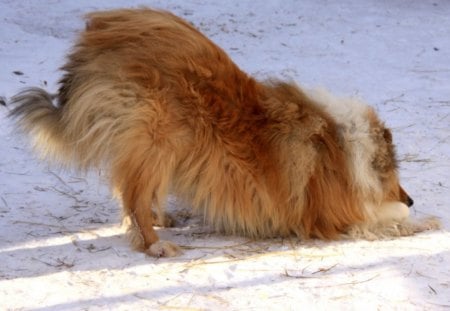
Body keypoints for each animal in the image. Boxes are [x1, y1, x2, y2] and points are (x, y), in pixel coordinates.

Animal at [7, 8, 440, 258]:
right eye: (395, 176)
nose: (411, 197)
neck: (346, 147)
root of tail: (103, 30)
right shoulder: (337, 213)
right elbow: (389, 217)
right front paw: (424, 220)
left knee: (132, 191)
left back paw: (162, 220)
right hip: (158, 139)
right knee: (133, 197)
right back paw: (155, 244)